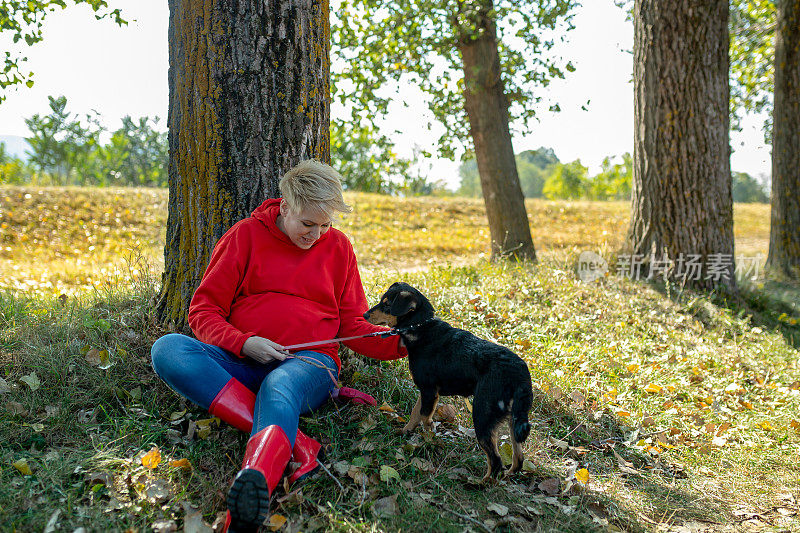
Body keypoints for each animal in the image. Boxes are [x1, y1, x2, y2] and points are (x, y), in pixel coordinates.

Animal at [366, 280, 536, 480]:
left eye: (387, 305)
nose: (365, 314)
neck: (420, 327)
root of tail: (520, 373)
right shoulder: (426, 391)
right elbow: (416, 412)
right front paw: (406, 431)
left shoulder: (429, 390)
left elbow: (424, 416)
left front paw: (430, 433)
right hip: (513, 417)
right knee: (518, 458)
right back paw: (507, 476)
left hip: (482, 413)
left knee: (495, 461)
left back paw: (480, 483)